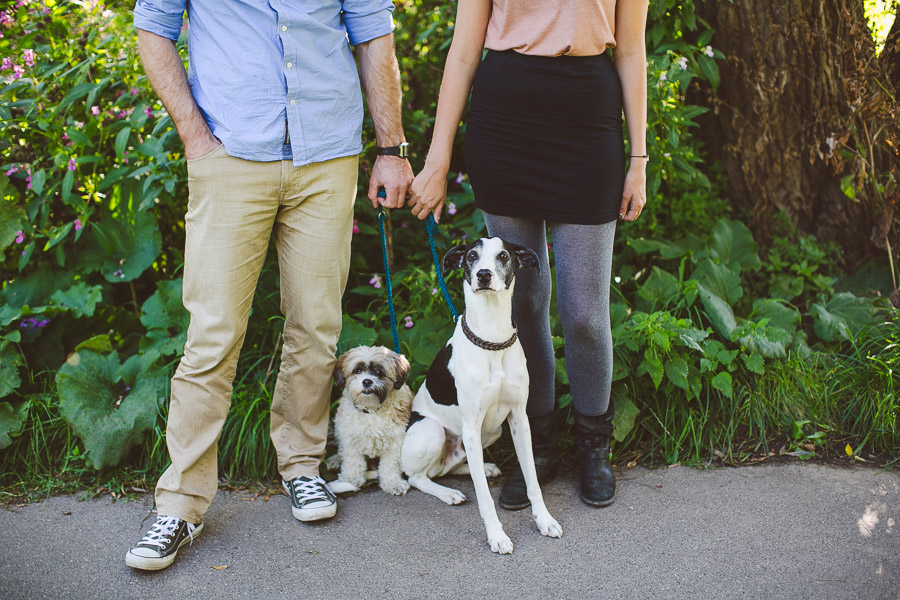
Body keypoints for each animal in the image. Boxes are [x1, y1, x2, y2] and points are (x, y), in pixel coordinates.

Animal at [328, 344, 414, 494]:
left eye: (379, 372)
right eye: (358, 370)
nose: (367, 381)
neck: (371, 410)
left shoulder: (395, 439)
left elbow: (390, 464)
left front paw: (393, 483)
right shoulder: (350, 437)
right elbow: (352, 460)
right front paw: (351, 479)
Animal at [402, 237, 564, 556]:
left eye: (503, 256)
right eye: (471, 257)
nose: (483, 275)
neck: (492, 340)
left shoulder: (519, 419)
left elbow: (532, 479)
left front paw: (544, 520)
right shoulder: (471, 426)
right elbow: (485, 499)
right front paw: (497, 536)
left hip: (492, 431)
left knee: (448, 468)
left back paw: (484, 469)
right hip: (433, 429)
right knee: (419, 477)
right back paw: (448, 493)